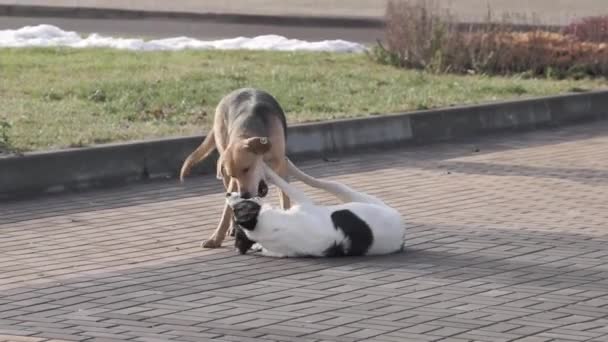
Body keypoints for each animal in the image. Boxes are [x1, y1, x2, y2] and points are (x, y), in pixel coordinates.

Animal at [179, 88, 290, 248]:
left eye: (247, 169)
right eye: (234, 175)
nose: (244, 195)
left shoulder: (281, 169)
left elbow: (285, 199)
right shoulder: (232, 181)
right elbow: (226, 211)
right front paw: (215, 238)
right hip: (224, 169)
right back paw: (232, 227)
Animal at [226, 160, 406, 256]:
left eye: (240, 206)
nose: (227, 194)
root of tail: (402, 237)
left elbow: (279, 180)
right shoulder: (303, 201)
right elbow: (280, 180)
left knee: (323, 183)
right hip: (360, 198)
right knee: (328, 184)